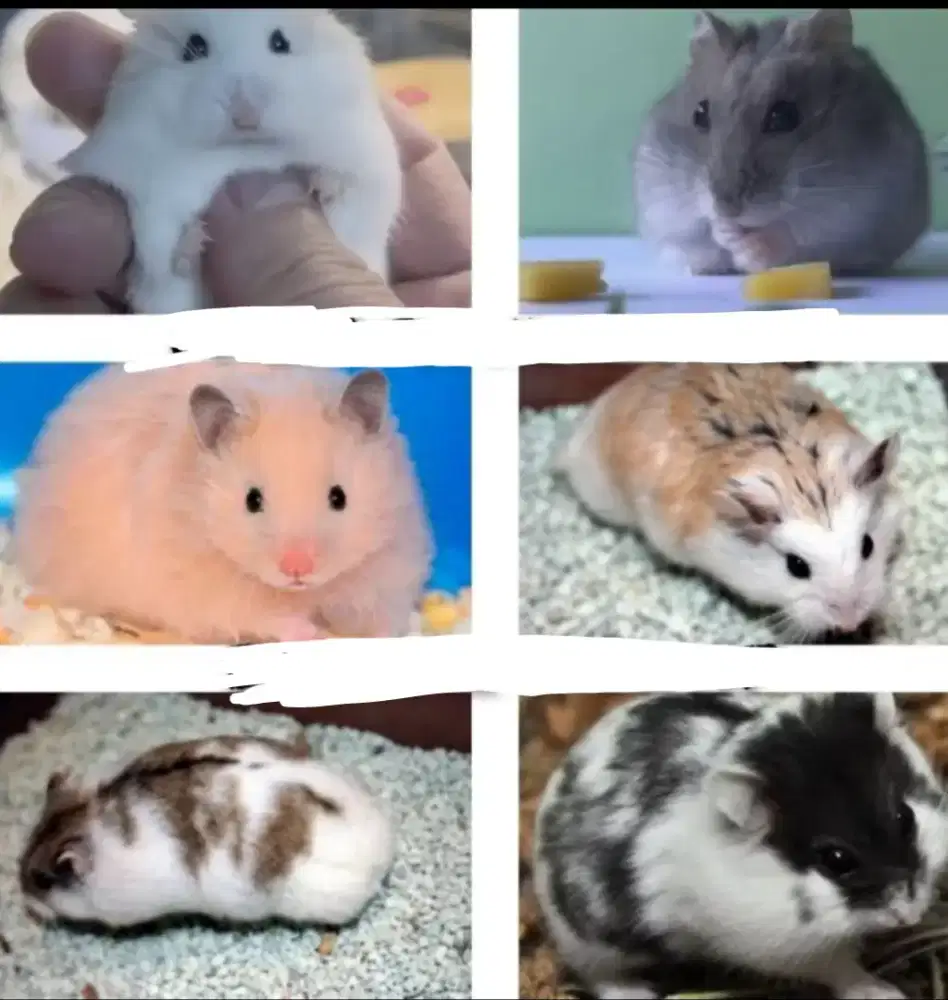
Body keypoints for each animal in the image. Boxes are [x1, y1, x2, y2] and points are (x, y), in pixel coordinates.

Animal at [11, 360, 433, 644]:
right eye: (252, 500)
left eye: (339, 496)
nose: (297, 568)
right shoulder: (205, 586)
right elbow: (263, 615)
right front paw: (308, 631)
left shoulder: (390, 562)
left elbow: (381, 613)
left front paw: (383, 636)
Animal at [62, 9, 401, 313]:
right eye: (194, 47)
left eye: (280, 42)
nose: (245, 114)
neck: (244, 150)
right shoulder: (146, 192)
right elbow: (163, 258)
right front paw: (194, 240)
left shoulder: (370, 168)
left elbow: (348, 205)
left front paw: (322, 185)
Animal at [534, 691, 948, 1000]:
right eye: (836, 859)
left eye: (905, 818)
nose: (910, 914)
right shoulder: (784, 947)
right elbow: (840, 967)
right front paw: (884, 992)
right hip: (589, 944)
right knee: (604, 976)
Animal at [634, 9, 929, 276]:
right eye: (699, 114)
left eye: (784, 116)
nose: (726, 209)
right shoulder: (664, 202)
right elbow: (701, 226)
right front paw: (726, 232)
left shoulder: (852, 210)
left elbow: (789, 233)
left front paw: (749, 251)